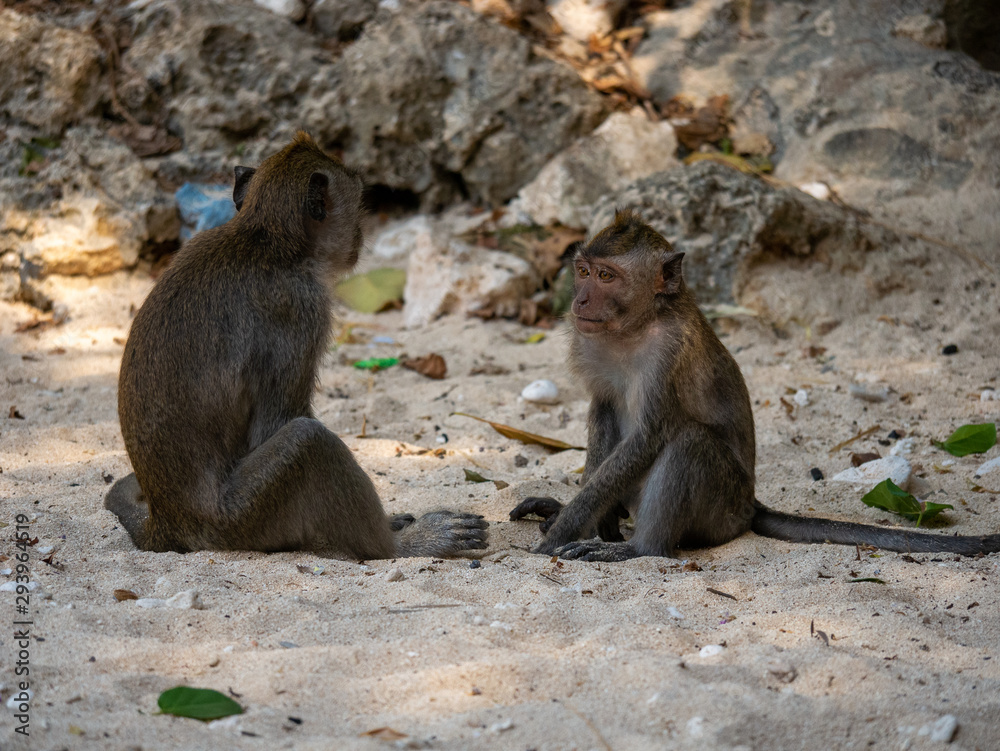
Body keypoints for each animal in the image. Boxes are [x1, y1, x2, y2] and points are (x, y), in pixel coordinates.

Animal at [104, 134, 488, 560]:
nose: (359, 239)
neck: (264, 238)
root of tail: (166, 525)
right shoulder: (303, 309)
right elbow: (276, 425)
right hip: (241, 518)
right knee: (309, 440)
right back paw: (402, 545)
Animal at [512, 209, 996, 560]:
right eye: (583, 270)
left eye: (607, 276)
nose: (579, 301)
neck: (636, 326)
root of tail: (750, 506)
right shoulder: (589, 341)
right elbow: (603, 411)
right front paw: (576, 515)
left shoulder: (668, 351)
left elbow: (649, 437)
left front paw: (562, 530)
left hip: (721, 510)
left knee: (689, 442)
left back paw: (639, 548)